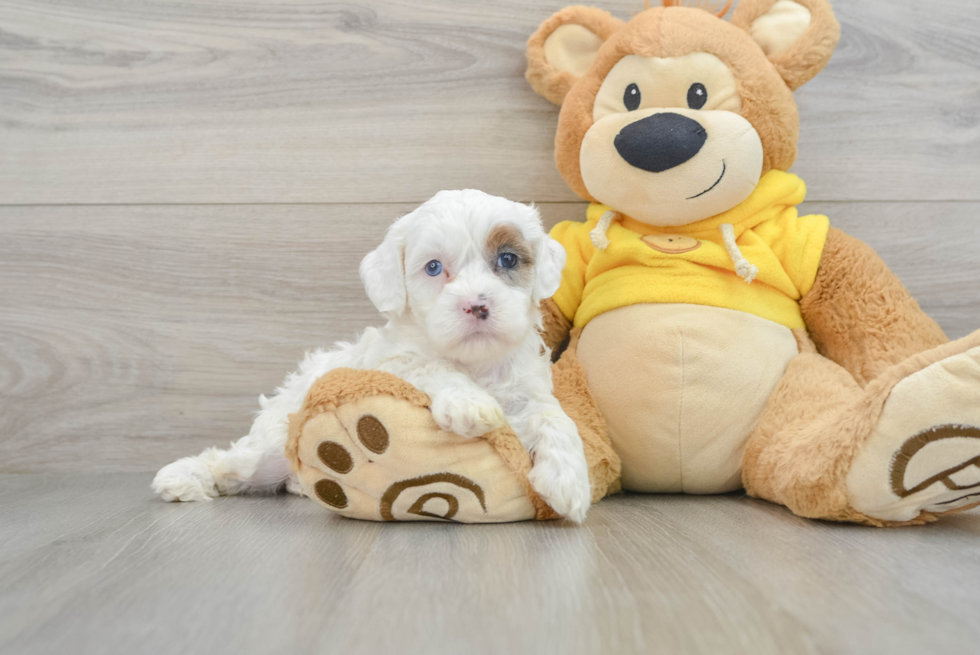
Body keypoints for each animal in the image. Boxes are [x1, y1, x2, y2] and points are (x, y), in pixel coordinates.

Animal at [153, 188, 592, 524]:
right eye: (434, 267)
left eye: (508, 259)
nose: (477, 305)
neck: (475, 362)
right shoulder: (395, 362)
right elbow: (433, 366)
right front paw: (470, 404)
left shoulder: (527, 388)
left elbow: (554, 416)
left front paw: (570, 480)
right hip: (270, 443)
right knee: (230, 461)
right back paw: (181, 476)